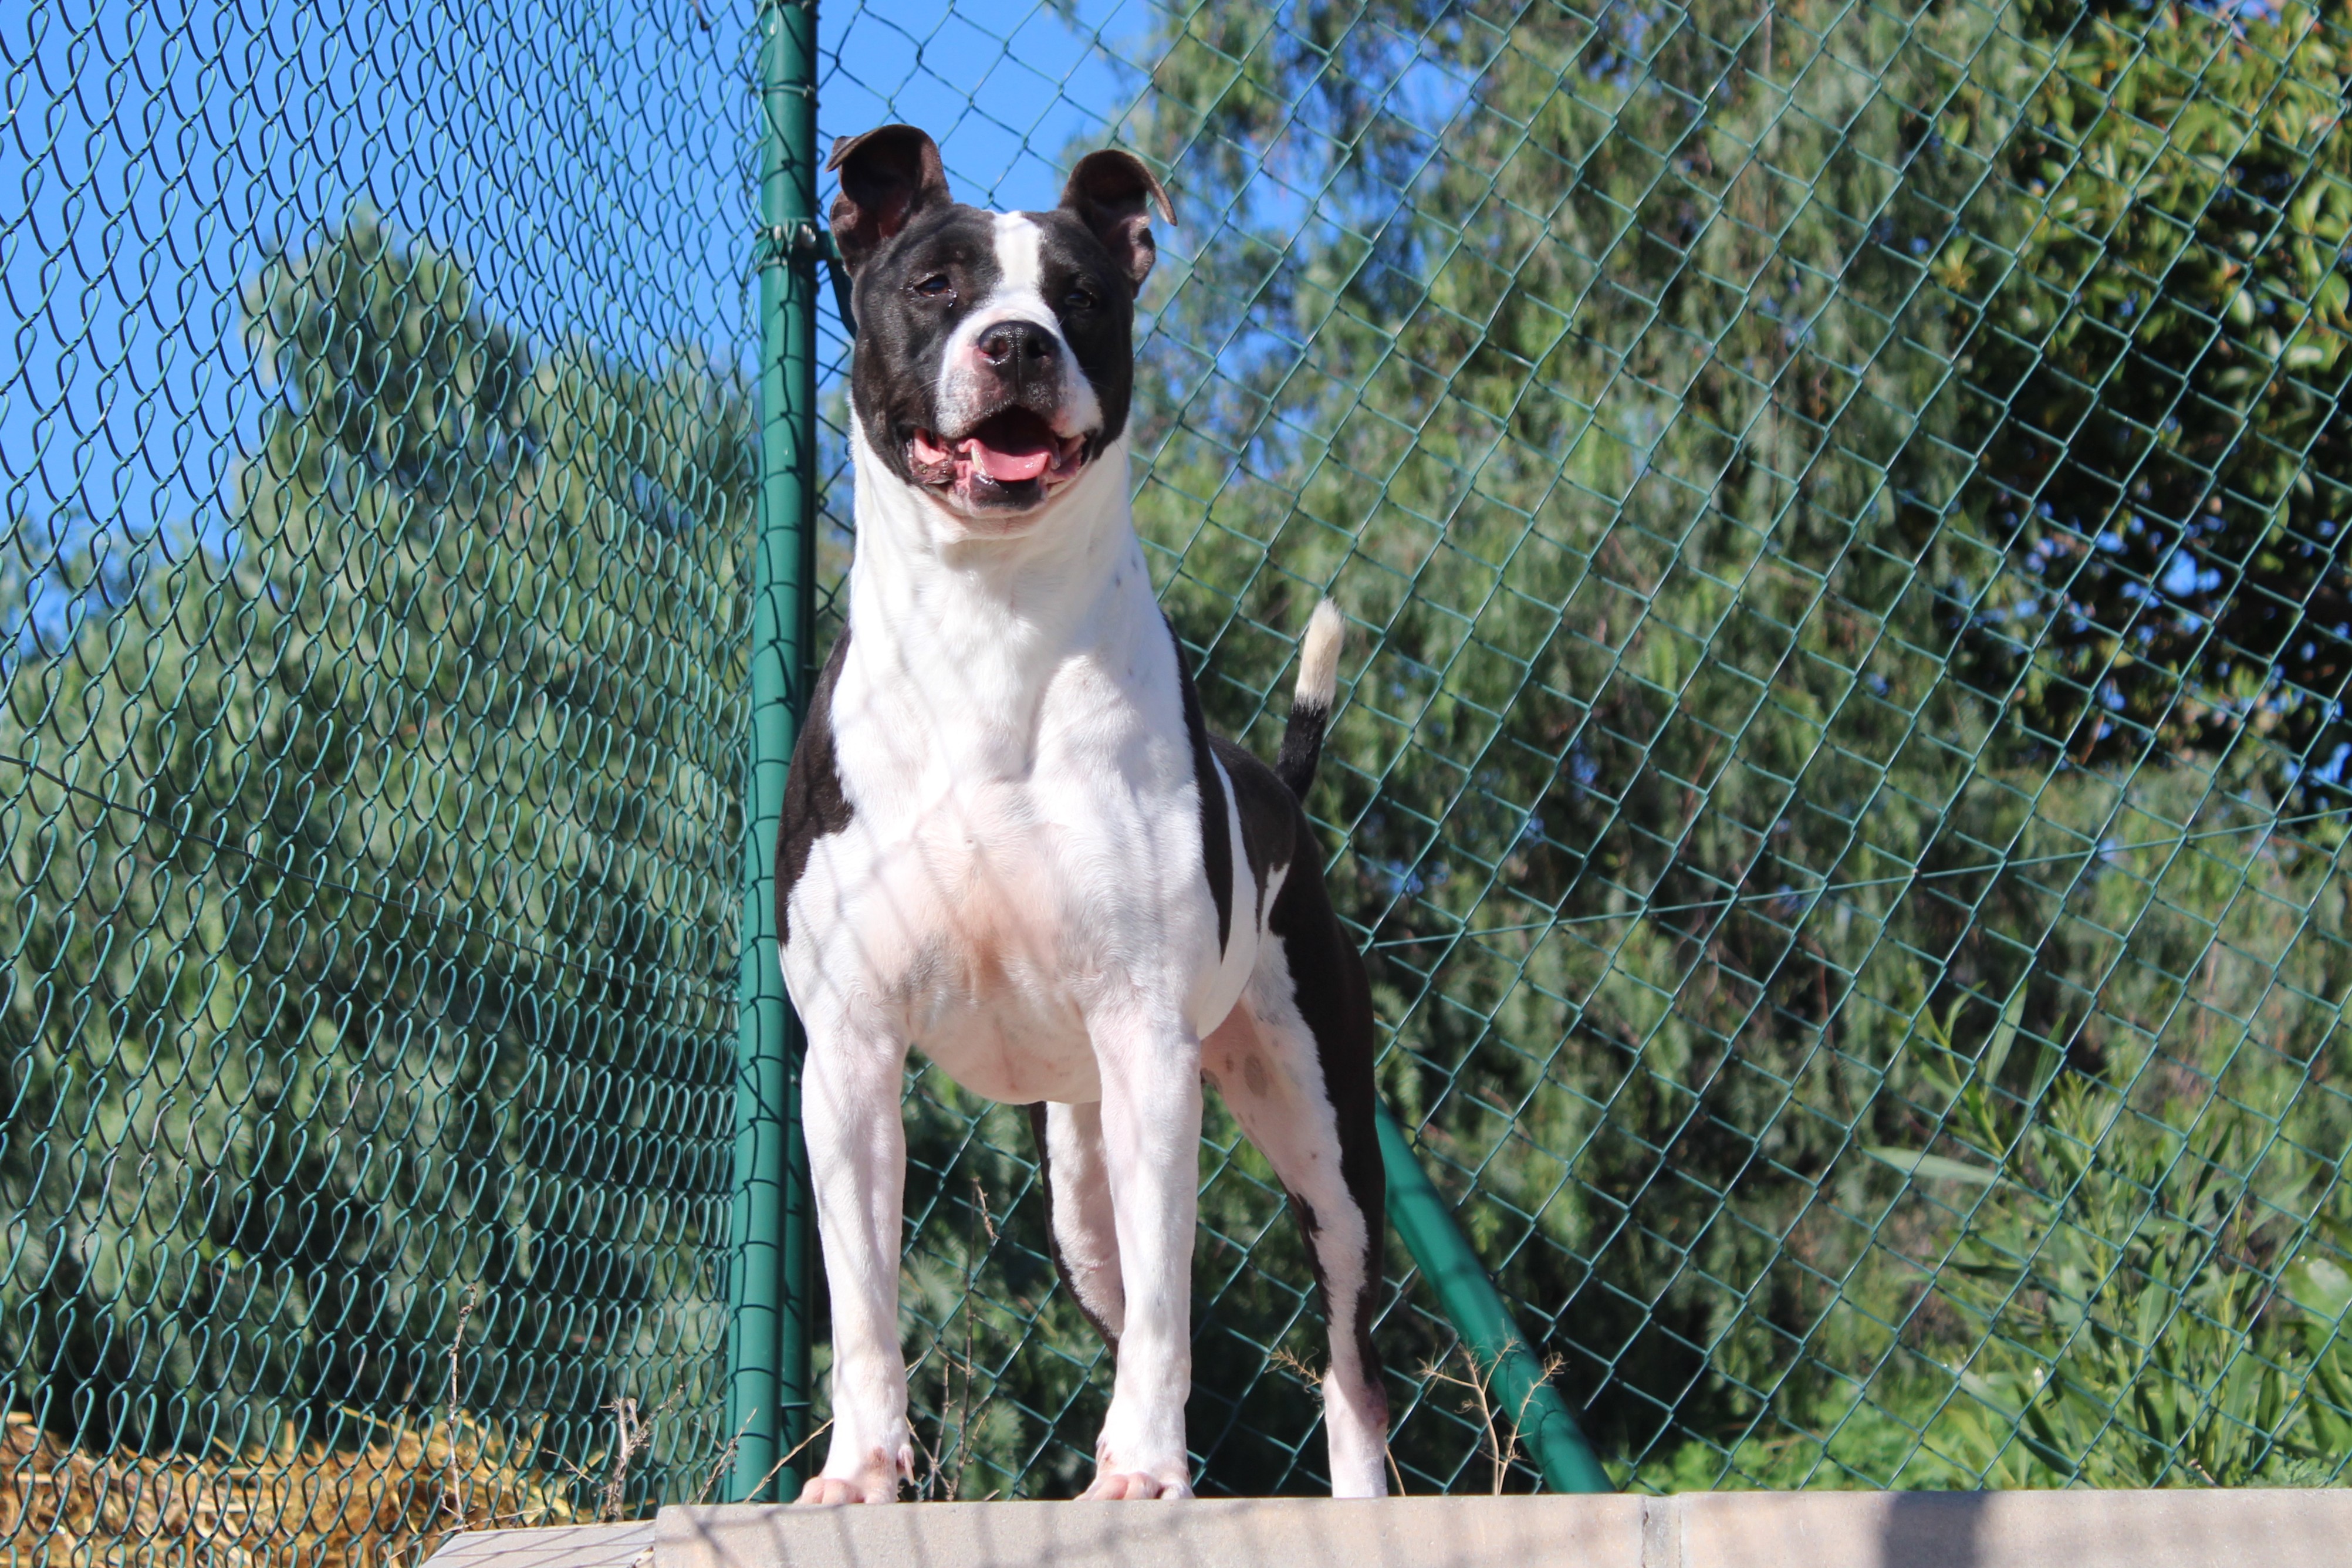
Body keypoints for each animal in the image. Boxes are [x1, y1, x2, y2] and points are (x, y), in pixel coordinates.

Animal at [780, 126, 1383, 1504]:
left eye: (1082, 297)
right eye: (937, 284)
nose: (1017, 343)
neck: (987, 624)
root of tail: (1276, 787)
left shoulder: (1148, 1041)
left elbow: (1173, 1313)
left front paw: (1145, 1475)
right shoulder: (847, 1053)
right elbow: (864, 1304)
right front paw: (860, 1470)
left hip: (1324, 1141)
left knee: (1347, 1355)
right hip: (1082, 1195)